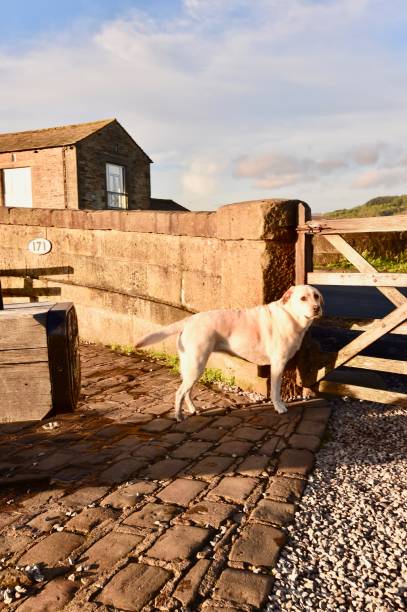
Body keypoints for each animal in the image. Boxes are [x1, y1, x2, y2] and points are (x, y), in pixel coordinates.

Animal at [135, 286, 324, 420]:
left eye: (316, 296)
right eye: (303, 298)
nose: (317, 308)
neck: (291, 315)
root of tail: (189, 319)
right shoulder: (278, 364)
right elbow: (275, 390)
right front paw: (279, 407)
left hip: (191, 367)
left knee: (186, 391)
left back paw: (193, 409)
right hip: (196, 365)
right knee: (180, 392)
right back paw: (179, 416)